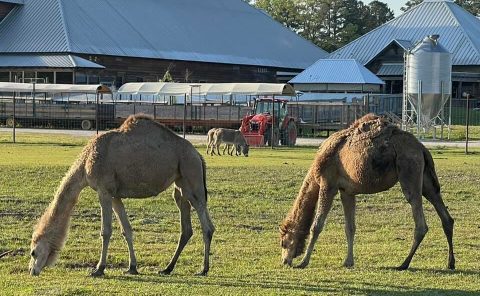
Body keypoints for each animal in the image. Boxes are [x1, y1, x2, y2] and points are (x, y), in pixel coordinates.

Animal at [29, 114, 215, 278]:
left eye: (33, 252)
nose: (32, 271)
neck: (86, 162)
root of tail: (199, 156)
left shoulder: (104, 190)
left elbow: (105, 231)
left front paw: (99, 269)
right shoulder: (115, 195)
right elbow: (127, 230)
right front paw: (132, 267)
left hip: (192, 175)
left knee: (206, 225)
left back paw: (203, 269)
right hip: (180, 183)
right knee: (186, 226)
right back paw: (167, 268)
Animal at [278, 114, 454, 272]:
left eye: (283, 242)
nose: (285, 261)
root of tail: (422, 149)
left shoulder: (328, 185)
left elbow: (317, 225)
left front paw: (303, 262)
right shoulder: (347, 191)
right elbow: (350, 227)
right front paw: (348, 262)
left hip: (409, 171)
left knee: (420, 222)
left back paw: (403, 264)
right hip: (426, 180)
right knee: (445, 215)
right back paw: (450, 263)